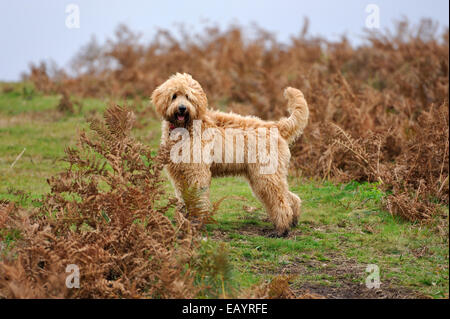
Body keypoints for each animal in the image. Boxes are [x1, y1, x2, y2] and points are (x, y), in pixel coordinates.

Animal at [151, 73, 310, 238]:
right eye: (174, 96)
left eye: (188, 96)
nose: (182, 108)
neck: (186, 128)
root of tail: (275, 126)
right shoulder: (178, 174)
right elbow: (183, 197)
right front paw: (184, 218)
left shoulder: (197, 173)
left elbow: (198, 198)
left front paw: (196, 221)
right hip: (265, 176)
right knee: (290, 197)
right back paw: (292, 220)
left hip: (266, 176)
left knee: (280, 201)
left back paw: (281, 229)